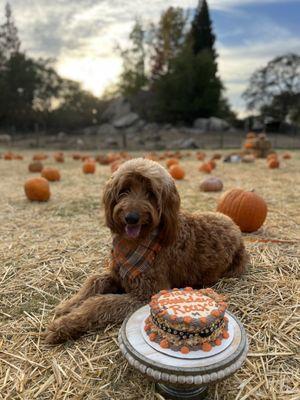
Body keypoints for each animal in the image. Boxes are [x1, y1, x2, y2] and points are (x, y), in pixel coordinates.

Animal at [44, 157, 246, 344]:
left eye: (151, 193)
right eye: (124, 190)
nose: (131, 217)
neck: (135, 243)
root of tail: (234, 225)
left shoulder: (147, 294)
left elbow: (100, 303)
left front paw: (64, 325)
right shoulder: (117, 274)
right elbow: (94, 281)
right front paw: (67, 306)